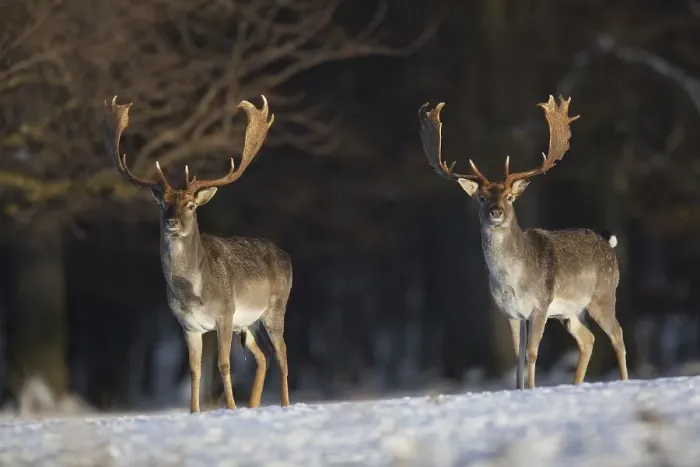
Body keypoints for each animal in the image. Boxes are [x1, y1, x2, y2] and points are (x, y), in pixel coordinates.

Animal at [103, 95, 292, 413]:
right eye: (162, 204)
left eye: (191, 206)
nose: (172, 222)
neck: (194, 292)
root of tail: (287, 257)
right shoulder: (187, 325)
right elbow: (194, 369)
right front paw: (194, 411)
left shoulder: (226, 313)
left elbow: (224, 364)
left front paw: (231, 408)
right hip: (249, 323)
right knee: (263, 356)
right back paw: (254, 405)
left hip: (275, 307)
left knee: (282, 353)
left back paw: (285, 405)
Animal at [418, 95, 628, 390]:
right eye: (481, 197)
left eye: (509, 196)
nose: (496, 212)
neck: (512, 281)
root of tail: (608, 242)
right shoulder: (510, 312)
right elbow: (517, 356)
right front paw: (519, 389)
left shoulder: (540, 305)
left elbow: (531, 352)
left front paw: (531, 389)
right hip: (569, 312)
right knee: (588, 339)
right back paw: (576, 384)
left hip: (604, 294)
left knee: (617, 334)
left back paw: (624, 381)